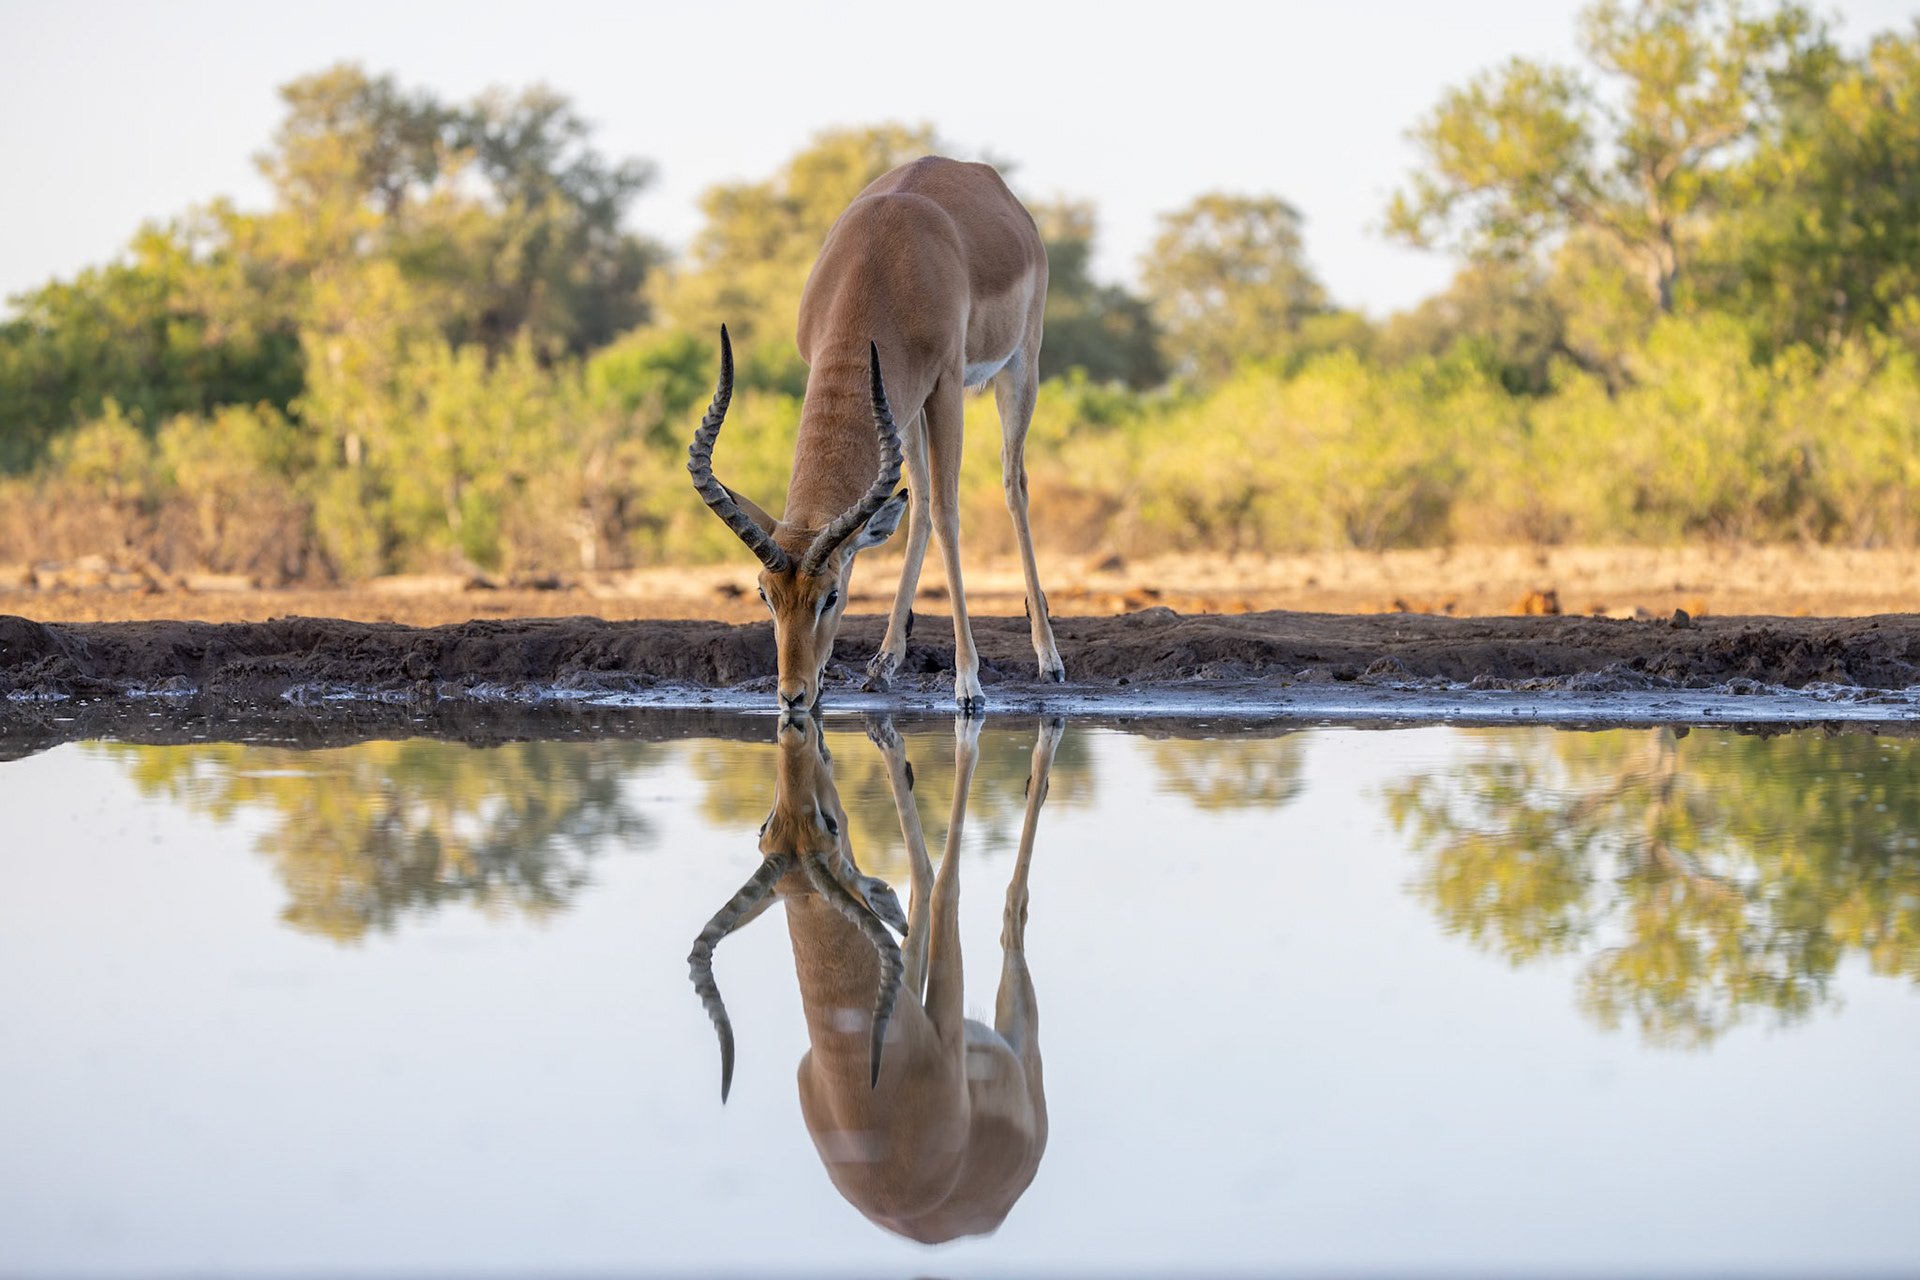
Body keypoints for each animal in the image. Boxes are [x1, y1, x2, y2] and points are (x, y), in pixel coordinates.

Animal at [687, 156, 1067, 715]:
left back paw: (1049, 659)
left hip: (1019, 367)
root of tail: (992, 184)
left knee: (1011, 483)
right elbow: (924, 505)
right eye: (765, 595)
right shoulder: (888, 391)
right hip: (903, 408)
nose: (793, 694)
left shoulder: (946, 385)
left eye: (831, 595)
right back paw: (884, 663)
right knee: (920, 501)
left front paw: (968, 684)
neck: (878, 265)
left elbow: (951, 514)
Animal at [688, 713, 1059, 1242]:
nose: (800, 730)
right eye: (765, 827)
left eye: (828, 823)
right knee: (956, 891)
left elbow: (940, 887)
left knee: (996, 905)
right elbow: (930, 888)